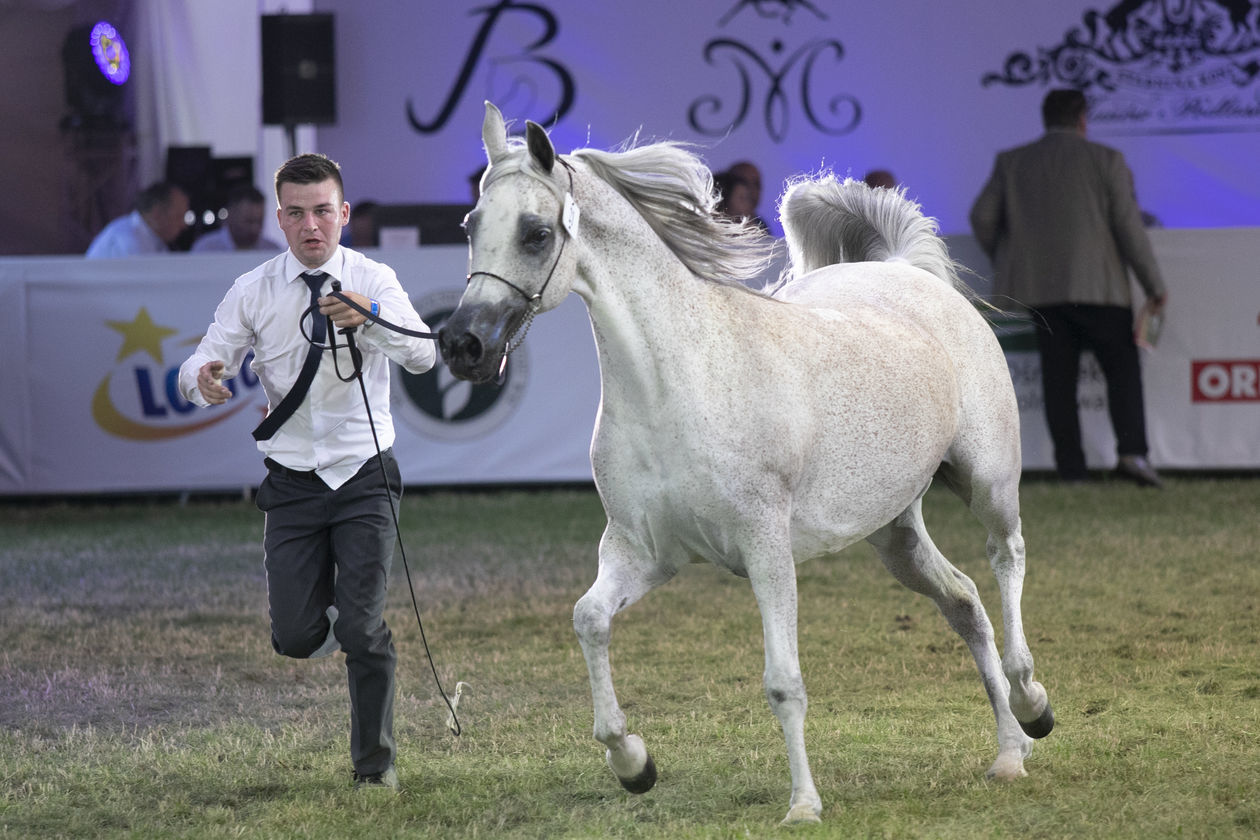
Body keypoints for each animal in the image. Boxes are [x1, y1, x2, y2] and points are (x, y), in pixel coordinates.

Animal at [438, 102, 1048, 826]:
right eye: (471, 225)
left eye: (534, 233)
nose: (462, 345)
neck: (676, 383)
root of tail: (908, 271)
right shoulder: (644, 551)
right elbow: (589, 619)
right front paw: (633, 764)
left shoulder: (765, 549)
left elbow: (783, 681)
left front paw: (804, 806)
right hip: (895, 533)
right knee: (964, 603)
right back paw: (1009, 752)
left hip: (987, 481)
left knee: (1007, 558)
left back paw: (1033, 703)